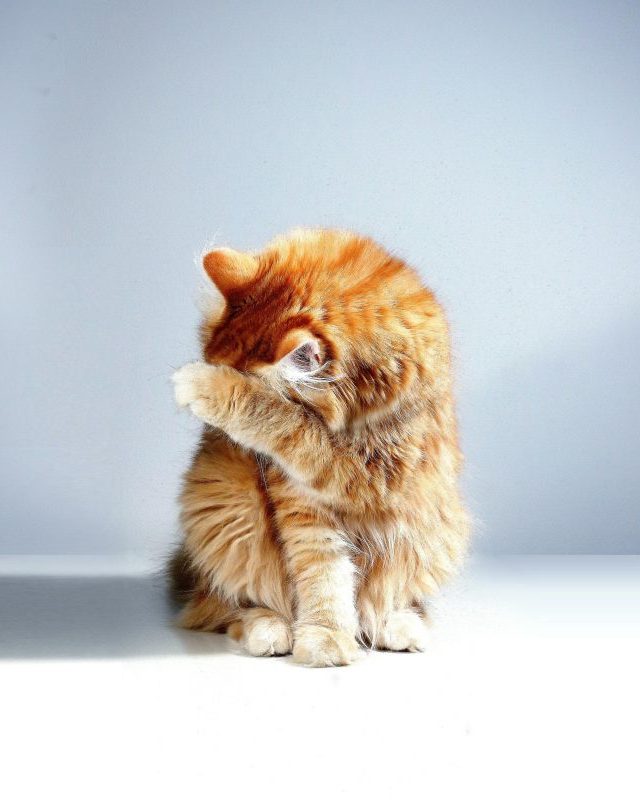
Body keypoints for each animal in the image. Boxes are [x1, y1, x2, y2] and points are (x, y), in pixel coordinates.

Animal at [171, 228, 470, 666]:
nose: (218, 434)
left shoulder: (371, 471)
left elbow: (281, 419)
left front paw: (207, 385)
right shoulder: (300, 501)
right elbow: (323, 573)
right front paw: (326, 636)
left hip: (434, 525)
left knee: (390, 598)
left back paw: (396, 624)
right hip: (224, 502)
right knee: (230, 604)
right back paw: (268, 628)